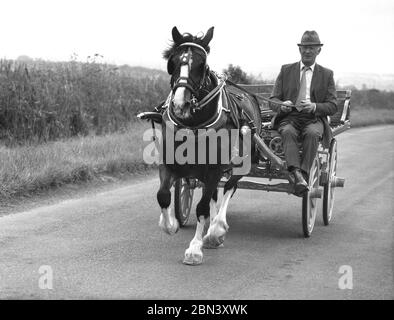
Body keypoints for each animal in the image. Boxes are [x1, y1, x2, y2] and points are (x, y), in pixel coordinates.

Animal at [155, 25, 264, 264]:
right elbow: (163, 196)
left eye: (202, 65)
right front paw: (171, 224)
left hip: (240, 165)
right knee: (214, 193)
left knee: (229, 188)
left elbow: (202, 207)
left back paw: (216, 229)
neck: (193, 125)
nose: (181, 104)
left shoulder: (214, 168)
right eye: (172, 62)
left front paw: (195, 248)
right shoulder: (169, 163)